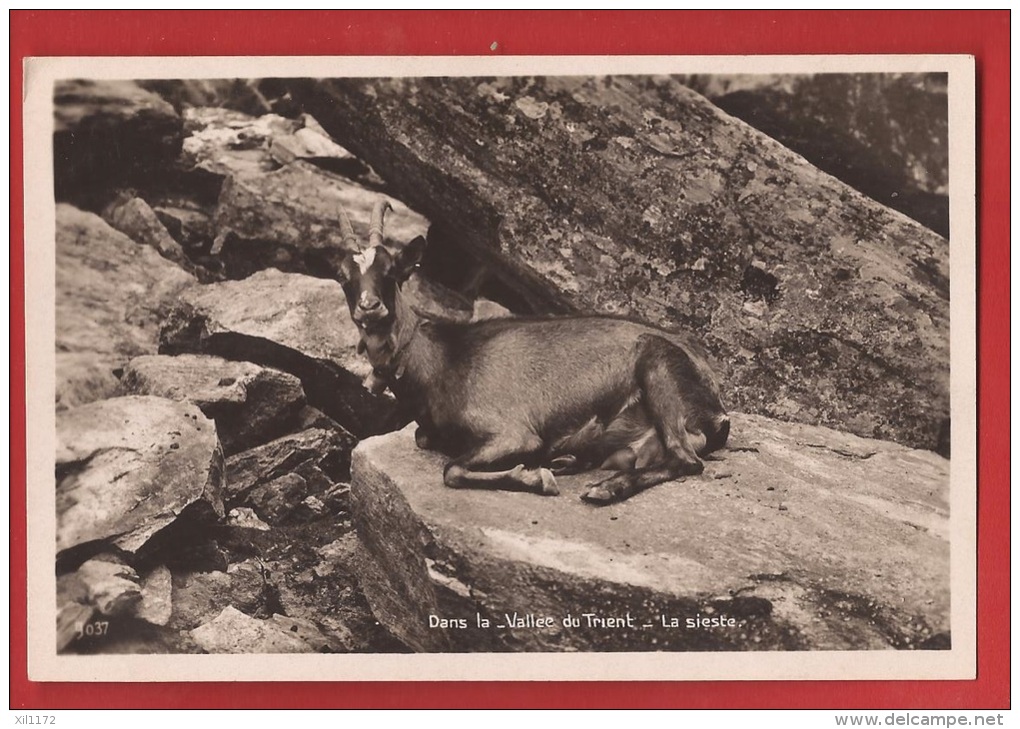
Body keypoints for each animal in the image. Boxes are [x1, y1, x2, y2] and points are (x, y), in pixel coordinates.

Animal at [338, 199, 730, 507]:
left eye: (391, 270)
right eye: (343, 276)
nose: (369, 307)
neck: (441, 360)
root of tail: (715, 404)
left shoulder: (513, 433)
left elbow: (452, 469)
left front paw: (535, 478)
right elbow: (424, 440)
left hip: (658, 368)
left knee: (686, 458)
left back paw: (603, 488)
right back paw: (571, 459)